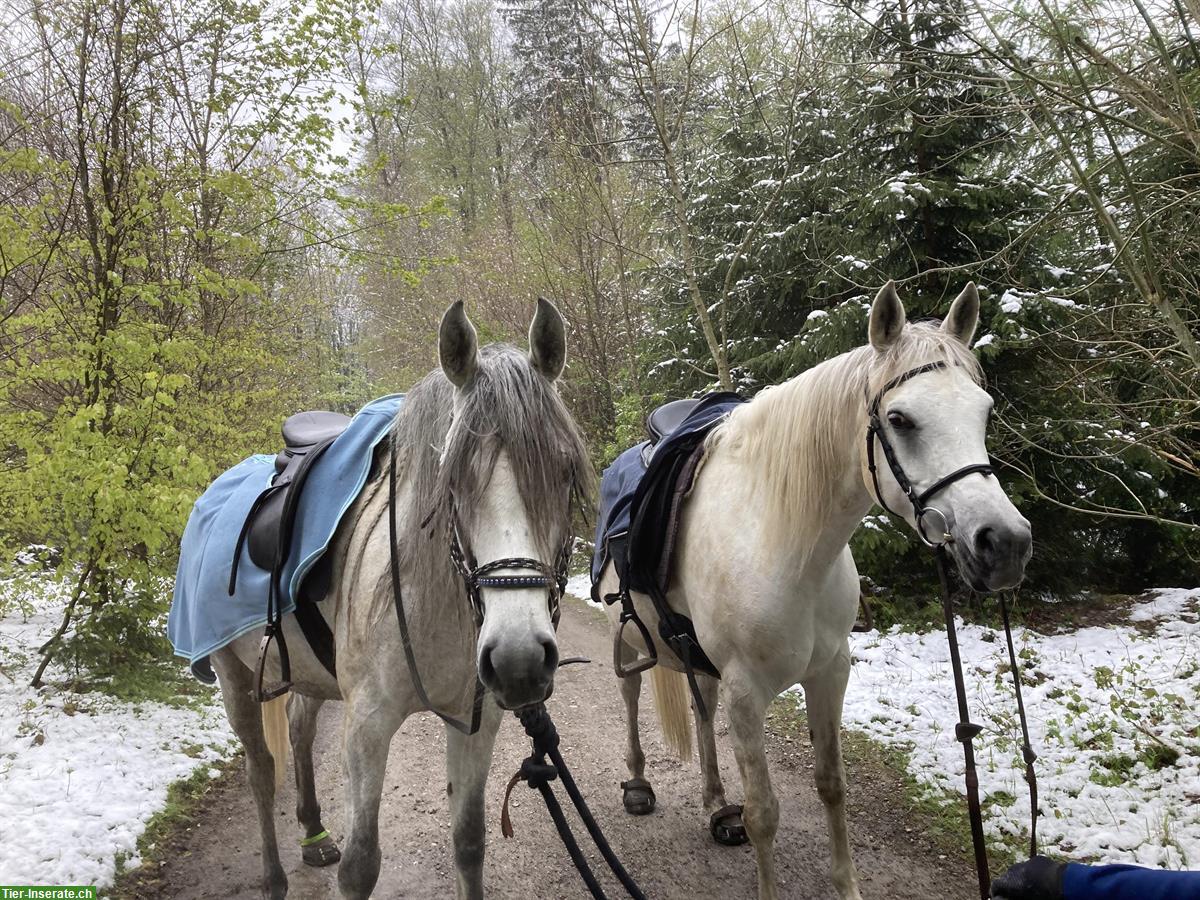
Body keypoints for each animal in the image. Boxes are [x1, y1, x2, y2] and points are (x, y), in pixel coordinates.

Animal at [214, 300, 595, 897]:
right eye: (451, 477)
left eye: (562, 470)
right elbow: (361, 866)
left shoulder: (476, 721)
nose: (520, 661)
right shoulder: (367, 725)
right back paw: (274, 876)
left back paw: (314, 834)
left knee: (299, 727)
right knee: (260, 770)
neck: (431, 606)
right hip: (231, 674)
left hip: (309, 673)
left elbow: (469, 843)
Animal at [604, 283, 1036, 900]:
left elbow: (831, 785)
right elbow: (764, 812)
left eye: (985, 411)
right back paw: (638, 782)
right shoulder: (745, 690)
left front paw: (846, 884)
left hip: (691, 650)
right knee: (631, 695)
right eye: (899, 419)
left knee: (701, 710)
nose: (1005, 544)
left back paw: (716, 804)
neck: (788, 543)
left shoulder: (830, 671)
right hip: (632, 641)